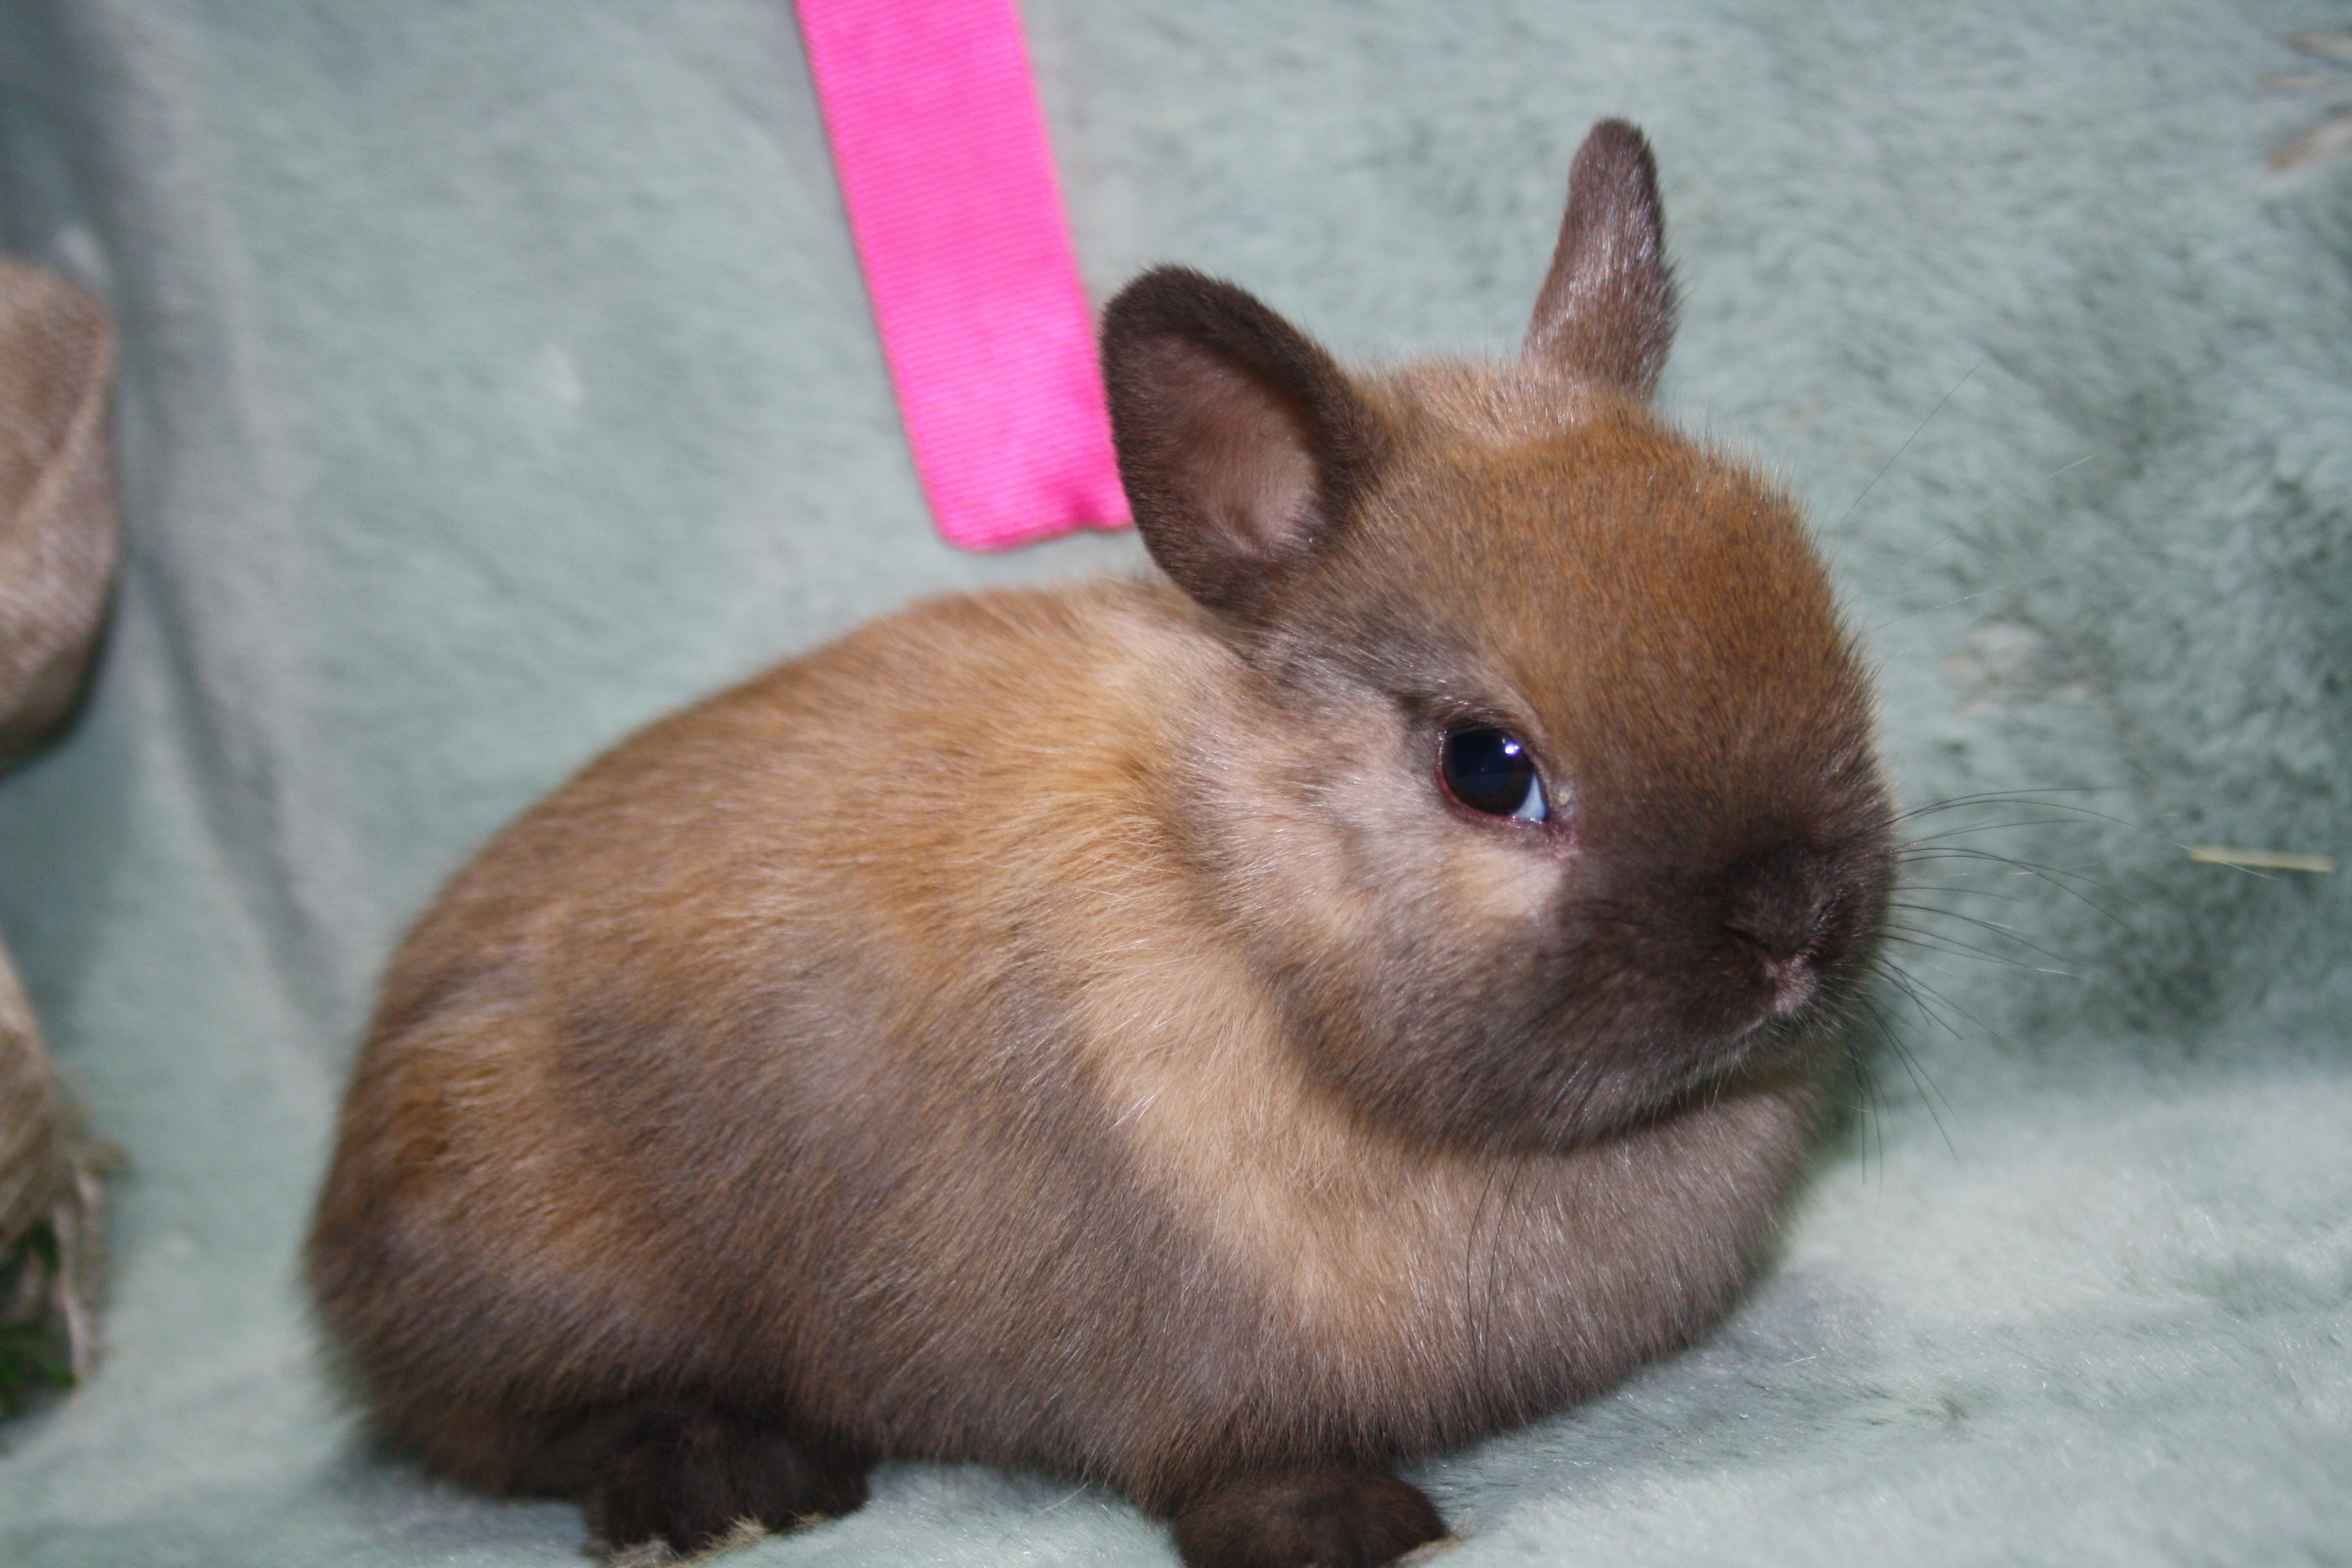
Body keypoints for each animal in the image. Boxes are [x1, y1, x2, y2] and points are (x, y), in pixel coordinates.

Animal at [308, 120, 1894, 1568]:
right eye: (1489, 770)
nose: (1795, 925)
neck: (1245, 918)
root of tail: (342, 1221)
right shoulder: (1195, 1374)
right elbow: (1236, 1459)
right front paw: (1349, 1531)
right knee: (524, 1425)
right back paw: (730, 1484)